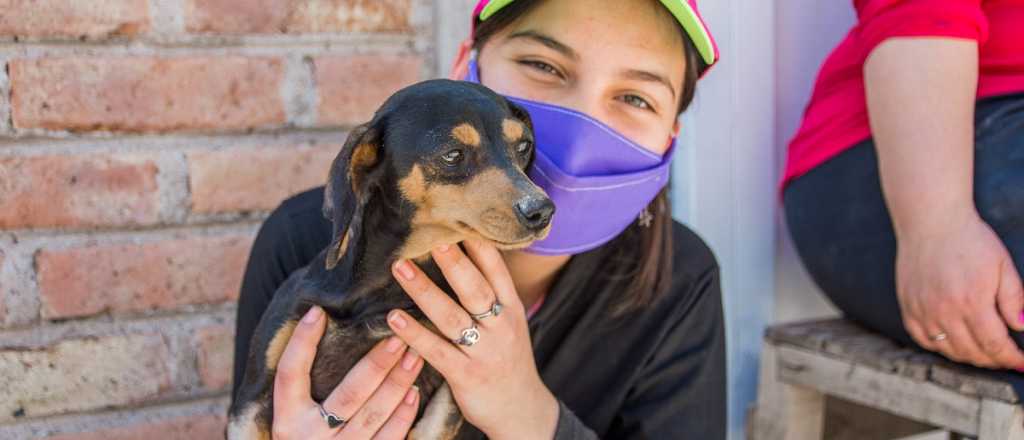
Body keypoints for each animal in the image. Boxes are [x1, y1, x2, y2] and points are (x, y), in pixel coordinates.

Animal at [229, 79, 557, 440]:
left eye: (524, 146)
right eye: (453, 154)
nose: (541, 211)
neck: (385, 291)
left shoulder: (447, 401)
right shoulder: (250, 401)